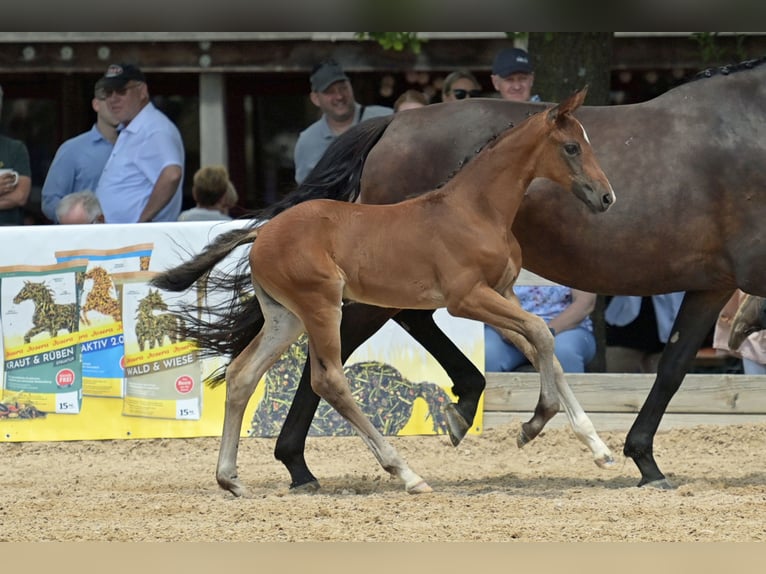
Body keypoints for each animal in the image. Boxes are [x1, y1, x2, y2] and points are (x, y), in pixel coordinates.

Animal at [154, 88, 616, 498]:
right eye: (572, 147)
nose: (606, 196)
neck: (475, 210)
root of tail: (263, 232)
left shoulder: (504, 293)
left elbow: (545, 348)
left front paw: (597, 448)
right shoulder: (466, 299)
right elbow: (539, 333)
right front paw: (535, 422)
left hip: (285, 318)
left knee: (242, 375)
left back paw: (230, 479)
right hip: (322, 308)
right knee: (329, 380)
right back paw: (407, 473)